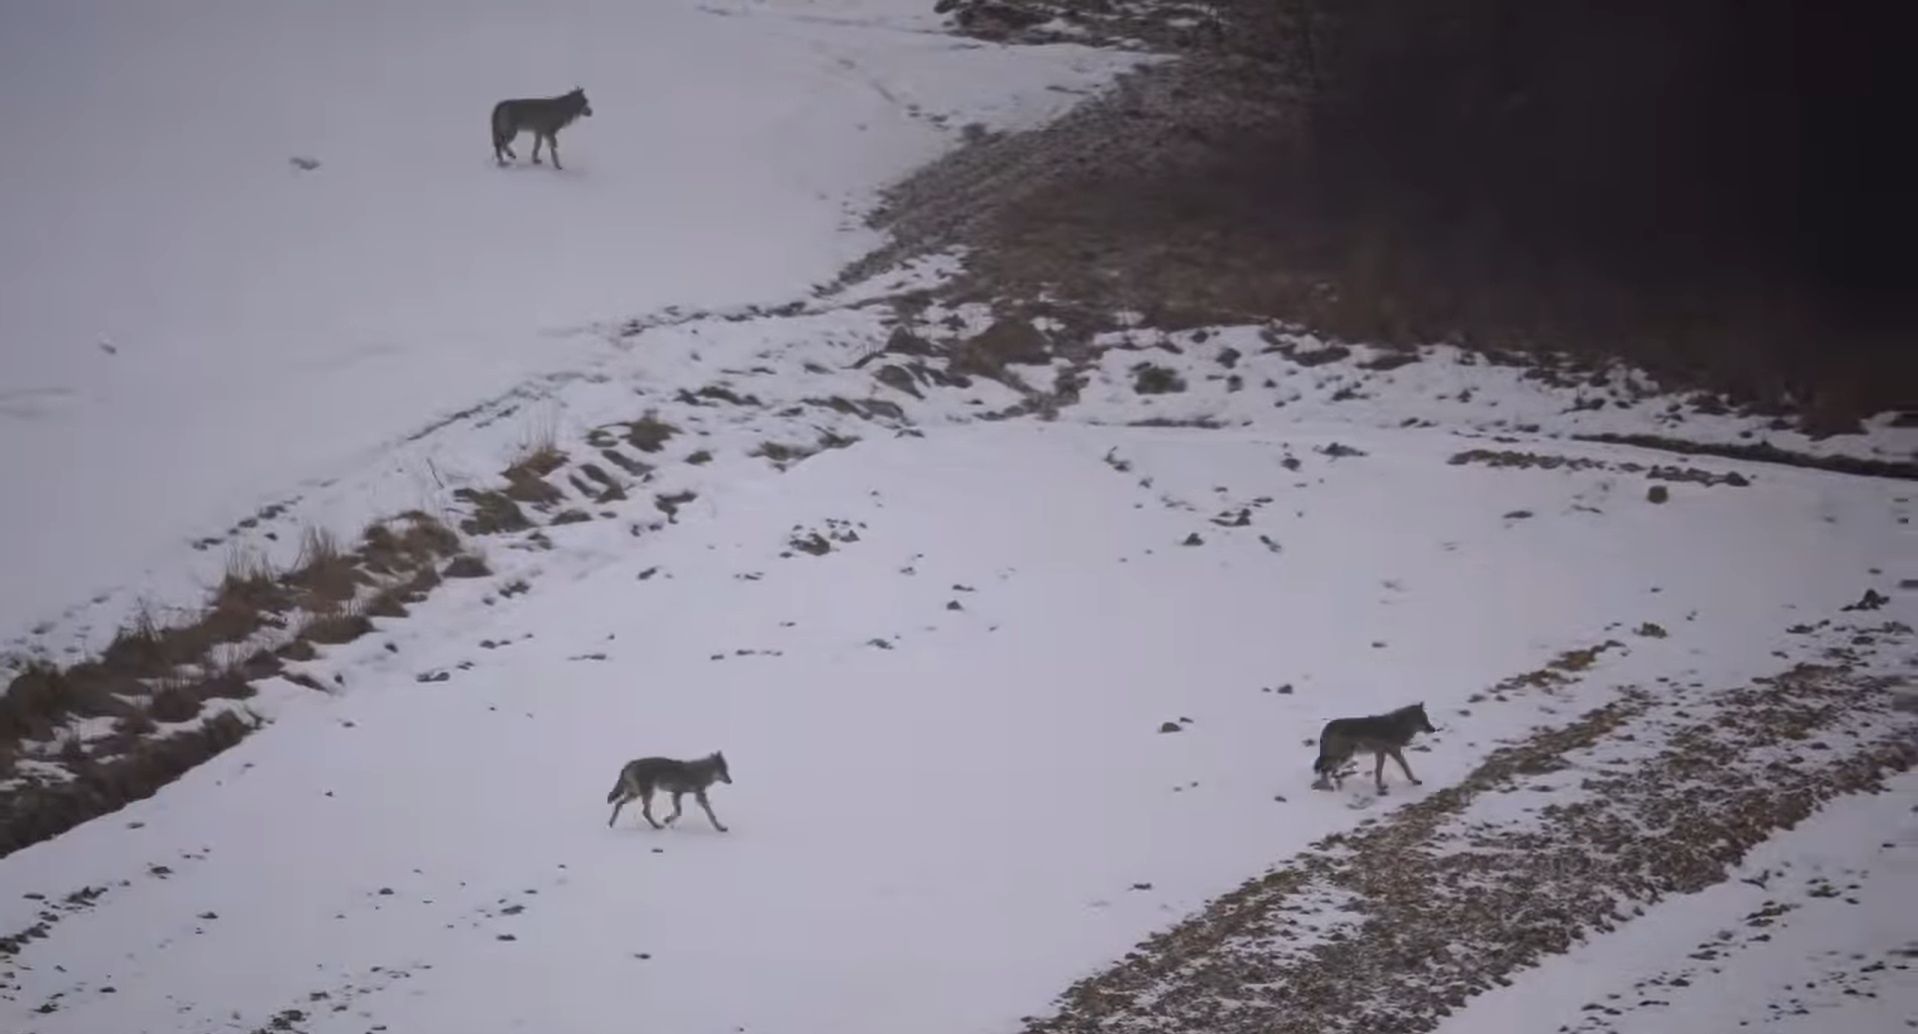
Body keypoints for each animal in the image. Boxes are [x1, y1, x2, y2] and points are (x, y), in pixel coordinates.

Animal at [1304, 705, 1442, 794]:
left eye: (1427, 719)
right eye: (1423, 721)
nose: (1434, 729)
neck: (1398, 726)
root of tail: (1326, 727)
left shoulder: (1381, 753)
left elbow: (1378, 771)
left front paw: (1380, 786)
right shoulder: (1394, 752)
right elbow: (1406, 767)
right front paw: (1413, 781)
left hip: (1345, 756)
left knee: (1329, 770)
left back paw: (1336, 782)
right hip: (1344, 756)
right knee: (1325, 769)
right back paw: (1328, 786)